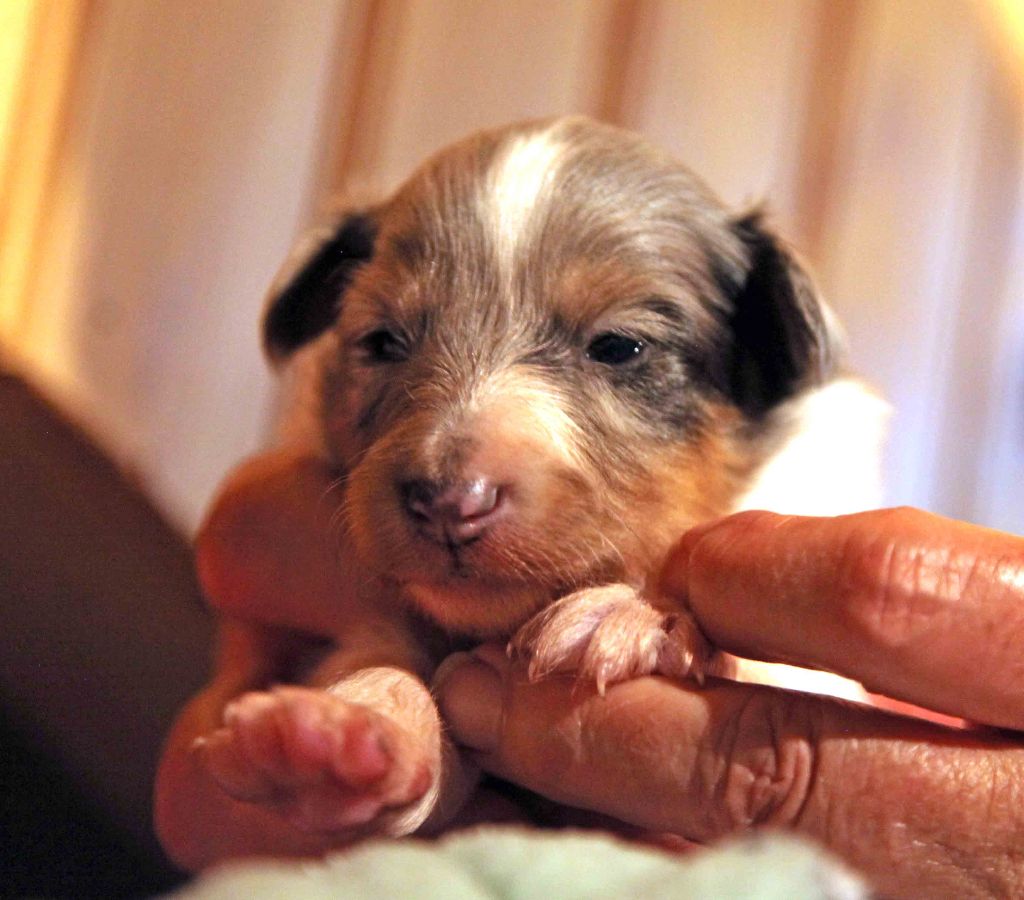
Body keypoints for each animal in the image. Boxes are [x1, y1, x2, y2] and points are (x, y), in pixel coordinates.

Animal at [199, 116, 888, 839]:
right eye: (382, 341)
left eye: (619, 346)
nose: (450, 504)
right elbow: (381, 659)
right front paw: (344, 731)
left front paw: (634, 612)